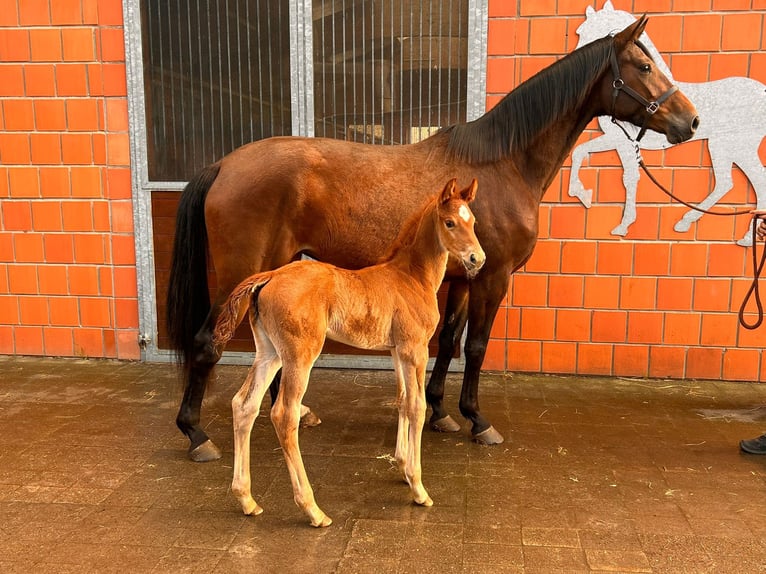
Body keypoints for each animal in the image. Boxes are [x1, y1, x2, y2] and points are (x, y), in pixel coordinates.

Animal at [167, 15, 699, 462]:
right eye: (644, 65)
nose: (690, 121)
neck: (504, 164)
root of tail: (222, 165)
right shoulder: (493, 277)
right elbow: (477, 346)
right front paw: (479, 421)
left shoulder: (465, 277)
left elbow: (448, 341)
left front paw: (441, 412)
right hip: (239, 272)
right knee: (207, 342)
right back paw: (197, 435)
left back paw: (295, 411)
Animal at [211, 179, 484, 526]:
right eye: (450, 223)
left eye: (472, 222)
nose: (478, 258)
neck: (410, 277)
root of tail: (269, 275)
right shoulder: (415, 349)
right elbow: (417, 406)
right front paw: (418, 488)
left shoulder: (396, 351)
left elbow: (401, 400)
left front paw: (401, 466)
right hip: (300, 355)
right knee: (284, 414)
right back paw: (313, 510)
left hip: (269, 353)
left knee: (244, 405)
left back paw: (247, 500)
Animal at [568, 1, 766, 246]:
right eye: (579, 32)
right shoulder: (622, 142)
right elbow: (584, 154)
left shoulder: (619, 140)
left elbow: (620, 173)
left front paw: (616, 220)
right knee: (733, 182)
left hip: (732, 146)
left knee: (736, 182)